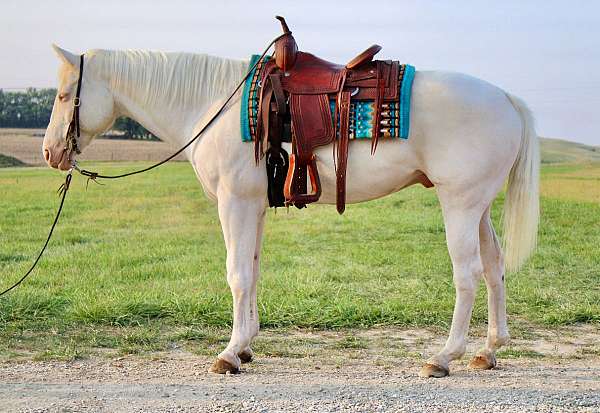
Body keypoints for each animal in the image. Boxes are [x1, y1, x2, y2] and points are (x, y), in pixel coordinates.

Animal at [42, 44, 540, 376]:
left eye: (65, 95)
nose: (50, 153)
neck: (211, 105)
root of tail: (506, 97)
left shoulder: (235, 203)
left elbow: (236, 274)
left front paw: (229, 353)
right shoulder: (254, 207)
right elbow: (253, 270)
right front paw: (246, 345)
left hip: (459, 203)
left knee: (467, 273)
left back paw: (443, 357)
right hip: (478, 207)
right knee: (494, 266)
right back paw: (489, 350)